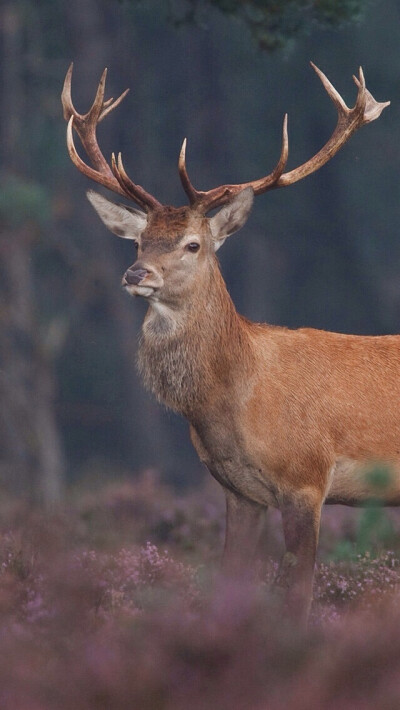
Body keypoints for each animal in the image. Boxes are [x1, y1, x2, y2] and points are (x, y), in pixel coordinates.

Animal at [62, 62, 393, 622]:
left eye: (193, 244)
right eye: (138, 241)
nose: (136, 273)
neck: (235, 400)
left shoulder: (306, 479)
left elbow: (298, 598)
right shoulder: (239, 492)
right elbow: (228, 585)